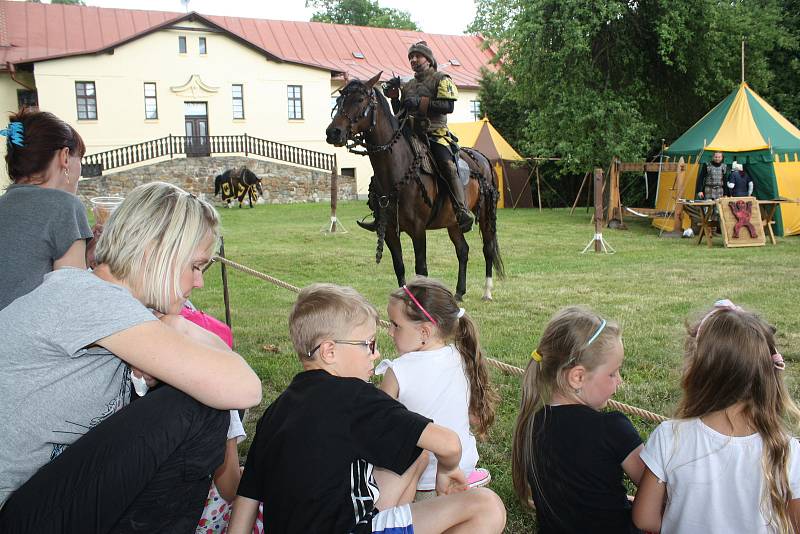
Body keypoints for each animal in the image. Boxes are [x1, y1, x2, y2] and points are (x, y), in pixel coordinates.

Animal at [324, 72, 500, 302]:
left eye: (360, 99)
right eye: (339, 100)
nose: (333, 132)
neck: (397, 168)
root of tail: (483, 158)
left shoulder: (418, 229)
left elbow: (421, 270)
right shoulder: (389, 230)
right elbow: (399, 267)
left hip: (486, 214)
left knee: (488, 248)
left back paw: (487, 291)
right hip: (452, 221)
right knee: (463, 250)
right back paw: (459, 292)